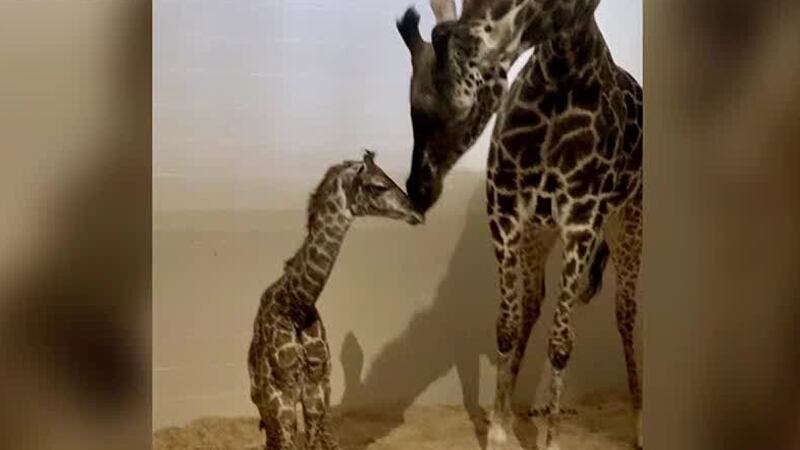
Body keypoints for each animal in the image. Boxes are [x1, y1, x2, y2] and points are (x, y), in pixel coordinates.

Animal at [248, 150, 423, 450]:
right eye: (378, 186)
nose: (416, 212)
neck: (295, 306)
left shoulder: (317, 388)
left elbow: (318, 440)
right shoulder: (280, 395)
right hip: (264, 399)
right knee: (274, 439)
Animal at [396, 1, 642, 449]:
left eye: (460, 110)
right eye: (411, 111)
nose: (418, 190)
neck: (565, 71)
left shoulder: (582, 218)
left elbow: (562, 342)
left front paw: (551, 441)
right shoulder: (506, 208)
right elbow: (506, 326)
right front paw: (497, 431)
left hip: (627, 224)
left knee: (625, 312)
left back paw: (638, 423)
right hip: (540, 234)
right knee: (532, 305)